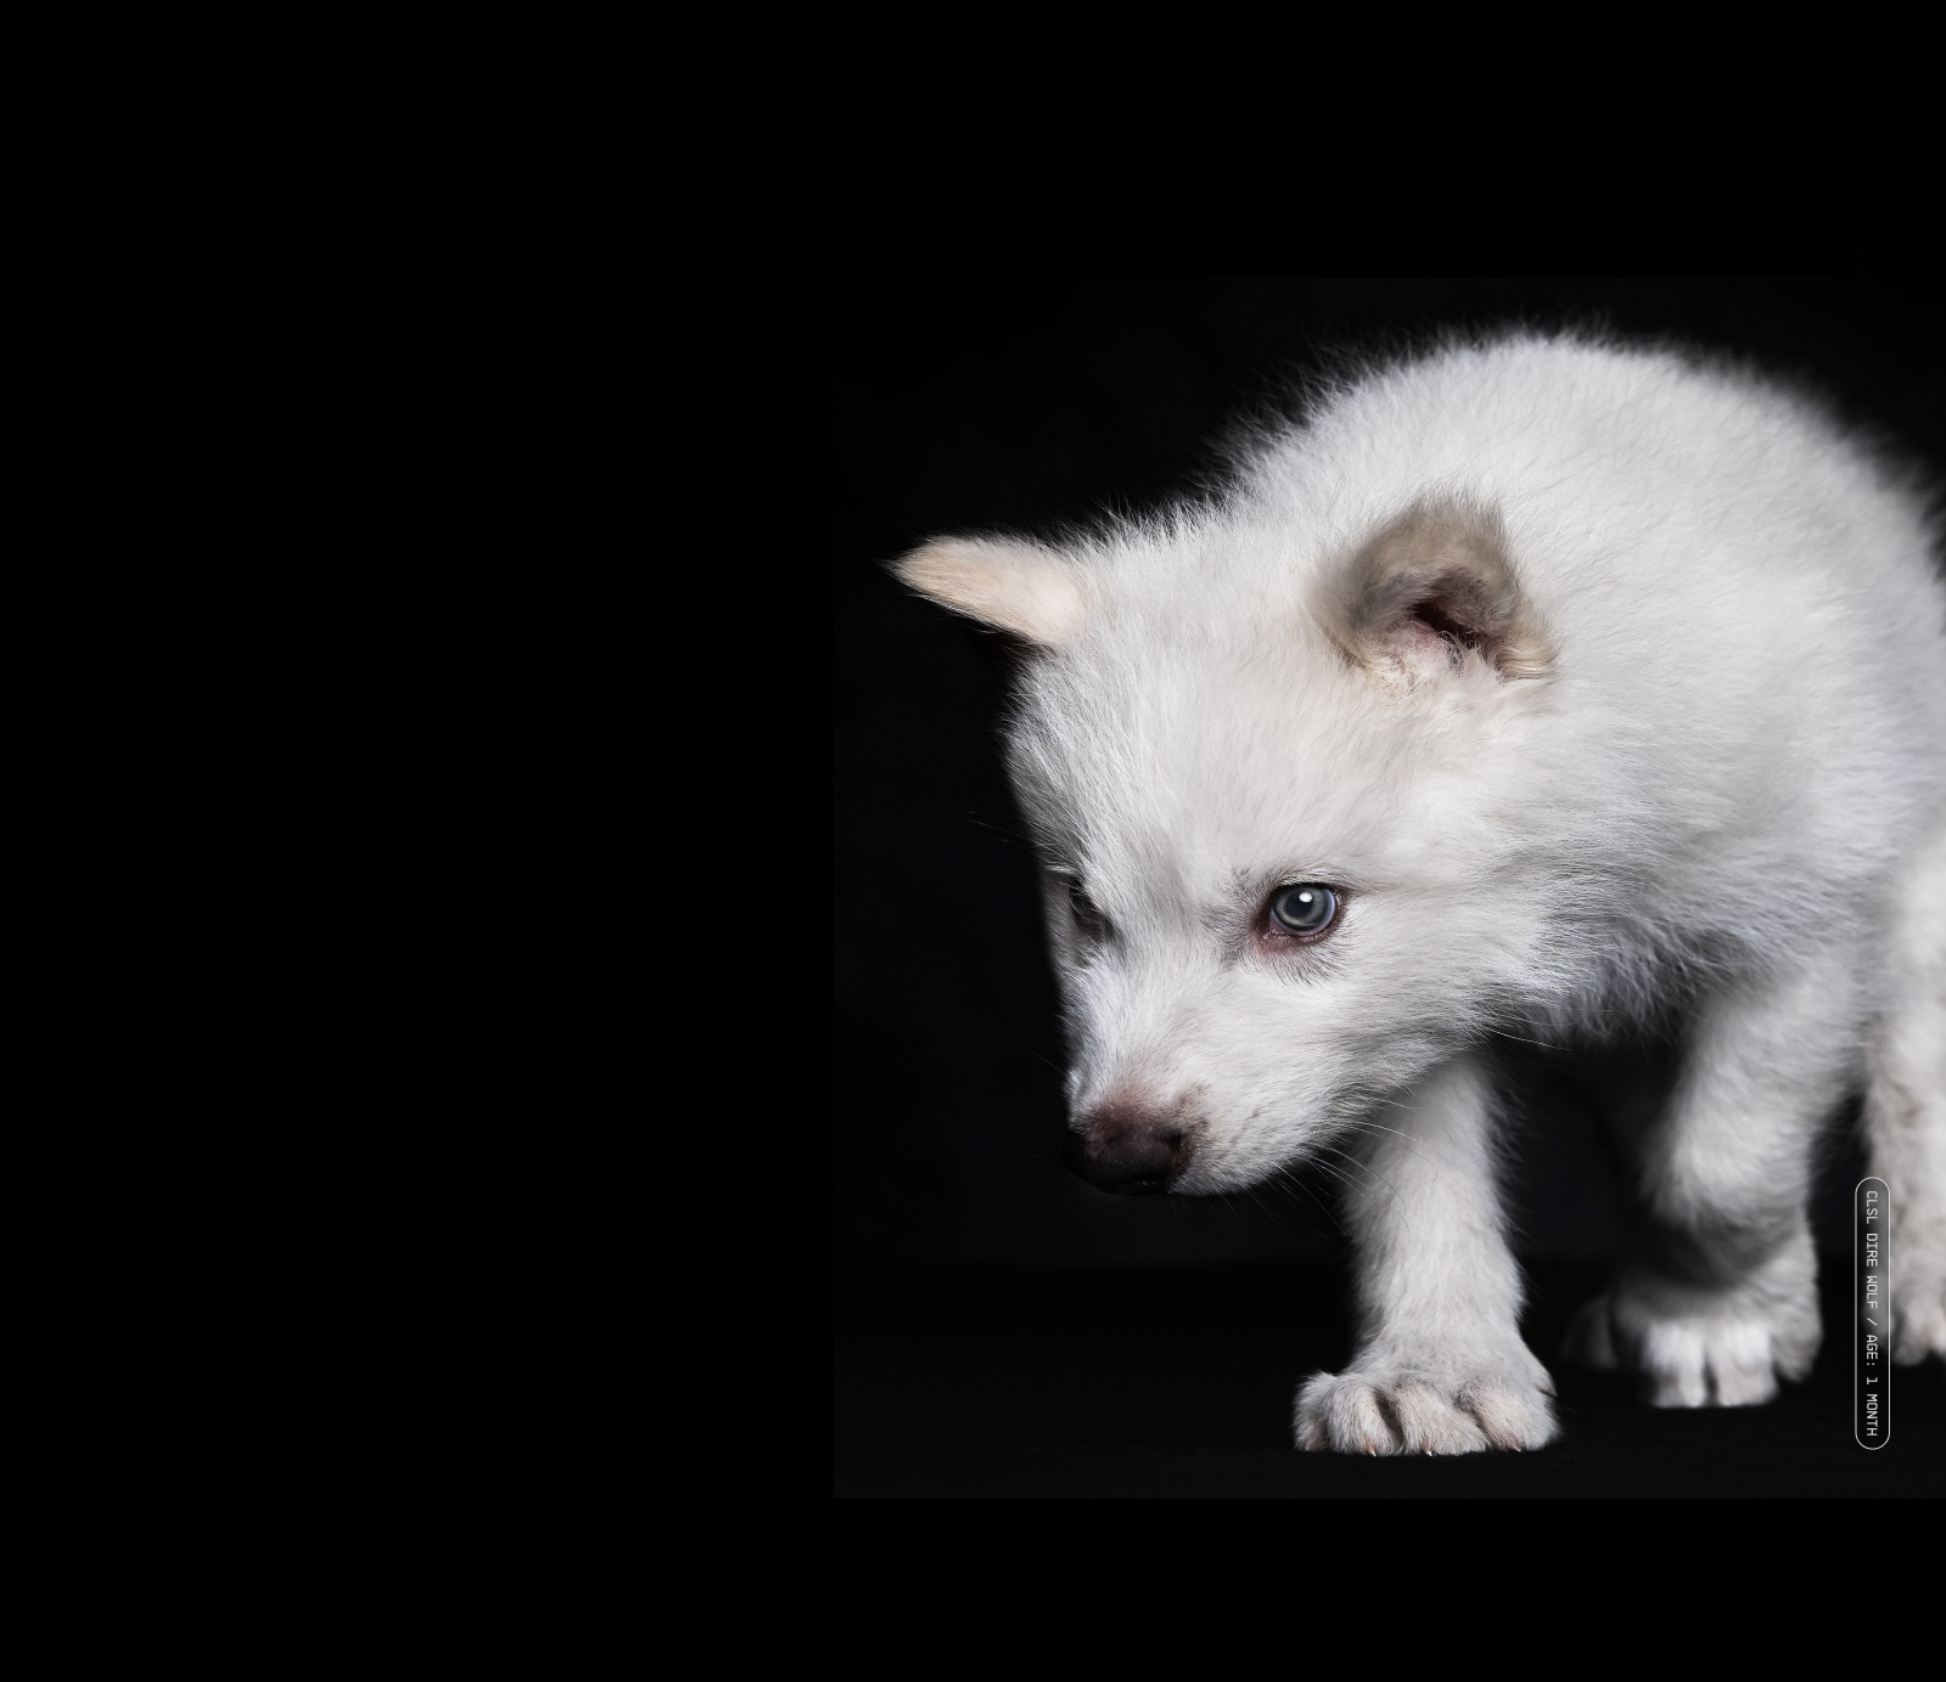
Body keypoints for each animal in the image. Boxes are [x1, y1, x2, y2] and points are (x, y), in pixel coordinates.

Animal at [895, 333, 1946, 1454]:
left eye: (1299, 909)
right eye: (1084, 912)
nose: (1114, 1154)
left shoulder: (1802, 932)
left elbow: (1716, 1171)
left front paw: (1716, 1318)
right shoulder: (1400, 1021)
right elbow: (1422, 1195)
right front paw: (1436, 1374)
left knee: (1907, 1070)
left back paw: (1914, 1287)